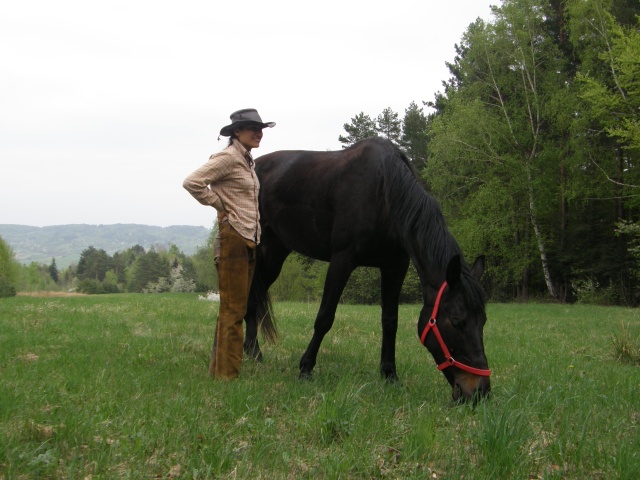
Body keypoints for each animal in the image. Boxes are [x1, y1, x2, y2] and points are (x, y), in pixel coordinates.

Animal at [244, 137, 491, 402]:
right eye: (456, 322)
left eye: (483, 321)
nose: (480, 392)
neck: (384, 190)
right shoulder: (342, 260)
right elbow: (324, 318)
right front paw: (306, 368)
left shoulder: (395, 266)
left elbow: (390, 321)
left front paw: (390, 374)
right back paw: (253, 353)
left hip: (275, 254)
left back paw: (251, 352)